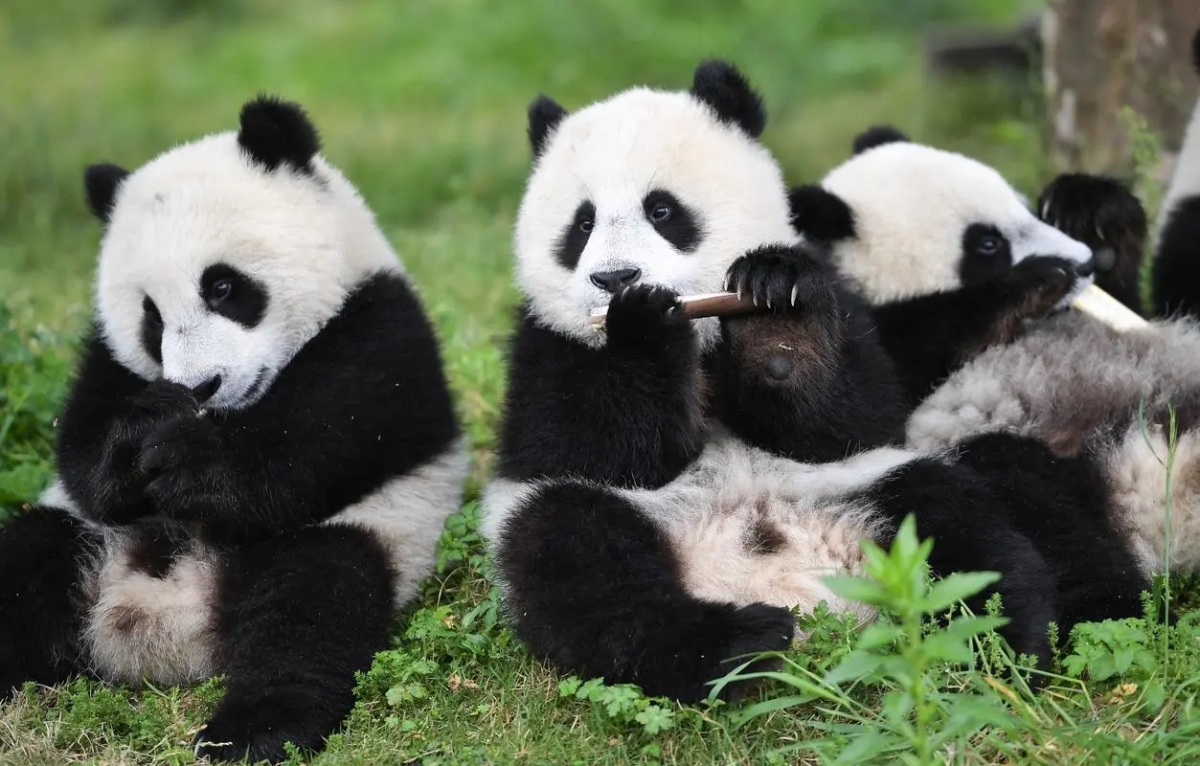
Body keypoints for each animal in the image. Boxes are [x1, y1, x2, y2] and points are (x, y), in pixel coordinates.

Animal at [0, 97, 467, 763]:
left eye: (222, 287)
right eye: (150, 316)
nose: (201, 387)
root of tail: (172, 625)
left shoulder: (385, 333)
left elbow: (306, 451)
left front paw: (187, 459)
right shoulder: (107, 357)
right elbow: (82, 449)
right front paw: (140, 435)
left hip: (367, 531)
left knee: (309, 607)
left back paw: (250, 731)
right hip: (82, 536)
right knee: (30, 560)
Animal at [480, 60, 1152, 704]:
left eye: (662, 209)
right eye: (582, 224)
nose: (615, 278)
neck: (702, 332)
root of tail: (793, 579)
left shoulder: (844, 308)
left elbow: (852, 414)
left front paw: (775, 313)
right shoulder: (543, 344)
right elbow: (593, 446)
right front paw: (643, 326)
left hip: (874, 488)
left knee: (965, 535)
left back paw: (996, 647)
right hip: (614, 523)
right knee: (580, 560)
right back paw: (736, 644)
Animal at [790, 128, 1200, 587]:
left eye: (1022, 205)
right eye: (988, 244)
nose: (1082, 263)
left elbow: (1128, 303)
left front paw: (1091, 210)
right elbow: (868, 406)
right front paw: (1035, 281)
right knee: (1043, 509)